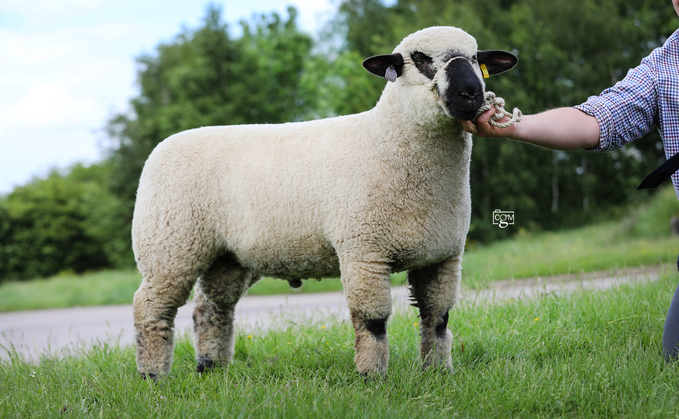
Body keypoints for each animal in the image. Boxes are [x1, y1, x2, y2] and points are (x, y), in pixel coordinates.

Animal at [131, 25, 516, 380]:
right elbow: (373, 321)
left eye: (476, 58)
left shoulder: (442, 254)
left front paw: (438, 372)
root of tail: (161, 148)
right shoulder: (363, 251)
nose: (471, 92)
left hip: (228, 256)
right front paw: (372, 377)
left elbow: (437, 319)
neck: (384, 141)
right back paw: (153, 375)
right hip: (169, 246)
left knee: (211, 308)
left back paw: (211, 369)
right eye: (419, 59)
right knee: (150, 308)